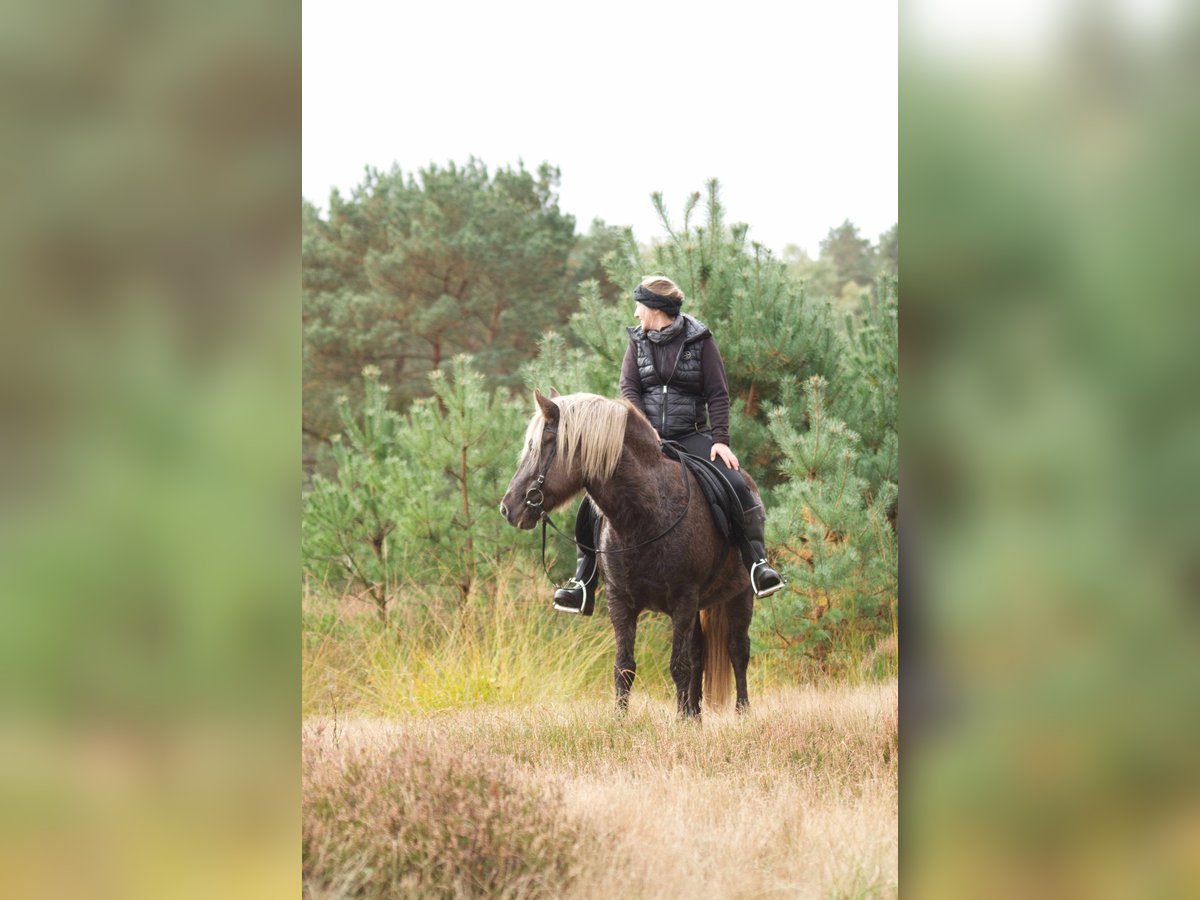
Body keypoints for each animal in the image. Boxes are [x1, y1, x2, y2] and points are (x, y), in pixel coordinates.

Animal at [499, 388, 758, 720]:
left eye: (542, 445)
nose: (508, 507)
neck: (644, 515)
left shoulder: (684, 599)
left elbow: (679, 665)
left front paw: (681, 723)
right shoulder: (620, 601)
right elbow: (625, 666)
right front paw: (621, 722)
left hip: (741, 595)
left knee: (738, 650)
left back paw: (741, 713)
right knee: (700, 652)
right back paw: (696, 715)